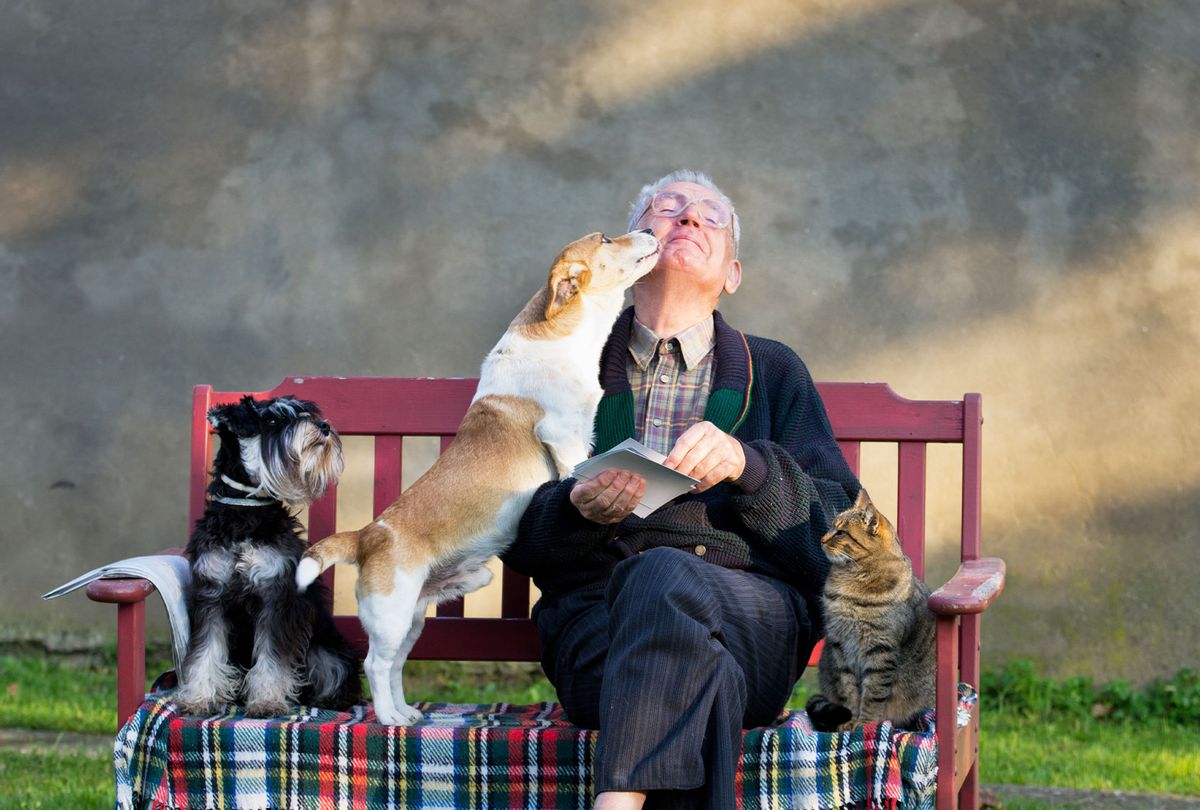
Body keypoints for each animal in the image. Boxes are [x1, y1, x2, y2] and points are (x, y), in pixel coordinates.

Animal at [172, 396, 360, 720]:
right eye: (272, 420)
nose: (323, 427)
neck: (243, 513)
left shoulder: (276, 596)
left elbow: (273, 657)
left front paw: (266, 701)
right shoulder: (211, 596)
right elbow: (206, 651)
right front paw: (199, 698)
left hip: (327, 650)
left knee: (336, 671)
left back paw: (331, 699)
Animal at [296, 229, 662, 729]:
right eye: (606, 238)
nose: (650, 231)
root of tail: (366, 535)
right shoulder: (565, 439)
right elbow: (572, 476)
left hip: (413, 619)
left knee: (395, 666)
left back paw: (406, 711)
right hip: (390, 615)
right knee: (374, 664)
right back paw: (389, 718)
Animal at [806, 487, 936, 734]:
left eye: (840, 533)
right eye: (831, 527)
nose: (821, 538)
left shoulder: (880, 650)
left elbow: (873, 694)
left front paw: (865, 723)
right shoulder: (840, 646)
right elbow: (848, 690)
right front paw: (850, 720)